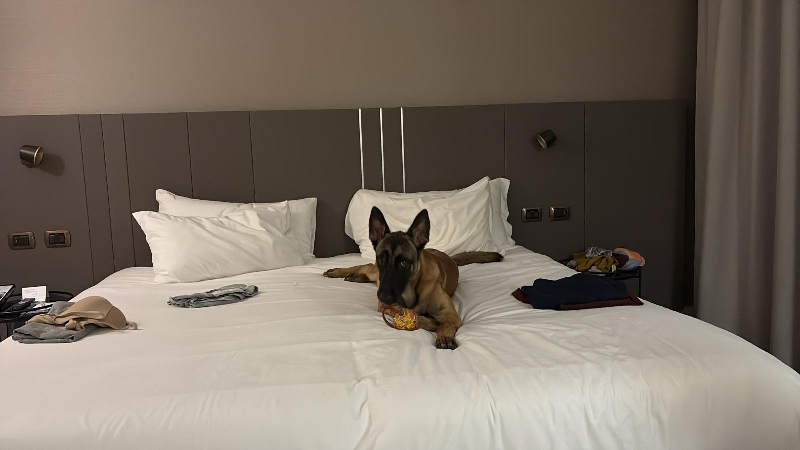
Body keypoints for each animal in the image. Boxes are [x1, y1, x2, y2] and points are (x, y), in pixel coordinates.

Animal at [323, 207, 502, 349]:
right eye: (381, 259)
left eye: (403, 262)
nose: (383, 296)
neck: (412, 289)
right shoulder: (385, 306)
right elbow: (408, 314)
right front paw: (431, 323)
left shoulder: (451, 314)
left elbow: (445, 324)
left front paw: (444, 335)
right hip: (377, 276)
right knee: (367, 267)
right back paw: (339, 271)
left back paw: (356, 277)